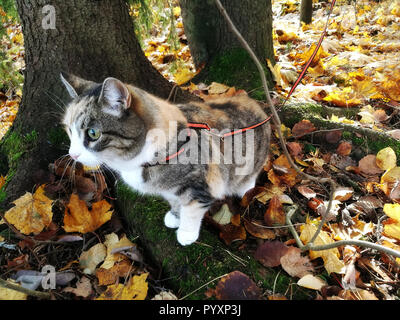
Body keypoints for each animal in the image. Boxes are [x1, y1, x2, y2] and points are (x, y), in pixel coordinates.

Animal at [60, 74, 272, 246]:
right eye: (69, 130)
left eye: (93, 133)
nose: (72, 154)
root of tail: (258, 106)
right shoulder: (169, 189)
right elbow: (175, 200)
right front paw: (175, 216)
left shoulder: (201, 181)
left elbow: (193, 208)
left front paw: (186, 233)